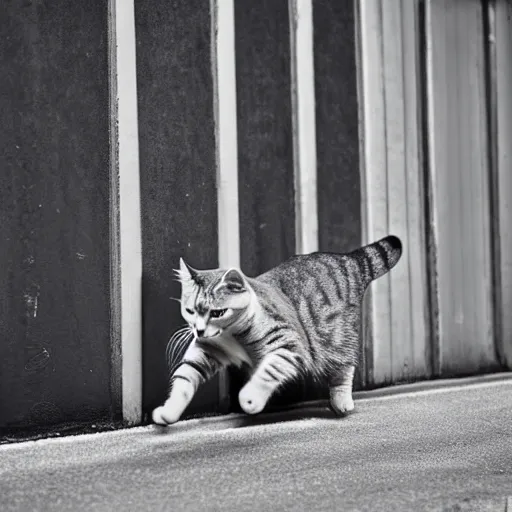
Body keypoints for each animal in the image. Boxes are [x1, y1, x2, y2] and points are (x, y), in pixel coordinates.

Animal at [152, 235, 400, 424]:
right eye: (190, 311)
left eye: (217, 313)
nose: (199, 331)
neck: (232, 335)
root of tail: (345, 259)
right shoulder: (206, 350)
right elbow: (184, 378)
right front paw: (169, 411)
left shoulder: (288, 345)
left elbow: (268, 372)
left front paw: (250, 399)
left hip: (336, 338)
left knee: (344, 368)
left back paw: (342, 401)